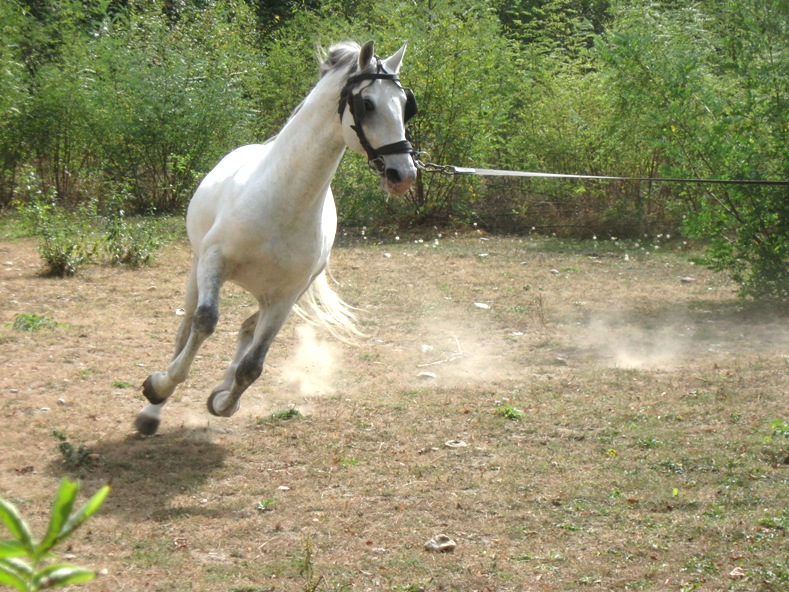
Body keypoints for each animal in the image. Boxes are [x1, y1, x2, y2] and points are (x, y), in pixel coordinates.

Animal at [135, 39, 418, 432]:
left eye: (406, 104)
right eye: (367, 103)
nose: (402, 174)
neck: (283, 202)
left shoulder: (285, 296)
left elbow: (252, 367)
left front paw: (223, 401)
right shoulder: (214, 261)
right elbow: (205, 322)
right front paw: (158, 387)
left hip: (276, 296)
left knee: (247, 328)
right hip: (197, 269)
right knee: (187, 326)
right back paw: (152, 412)